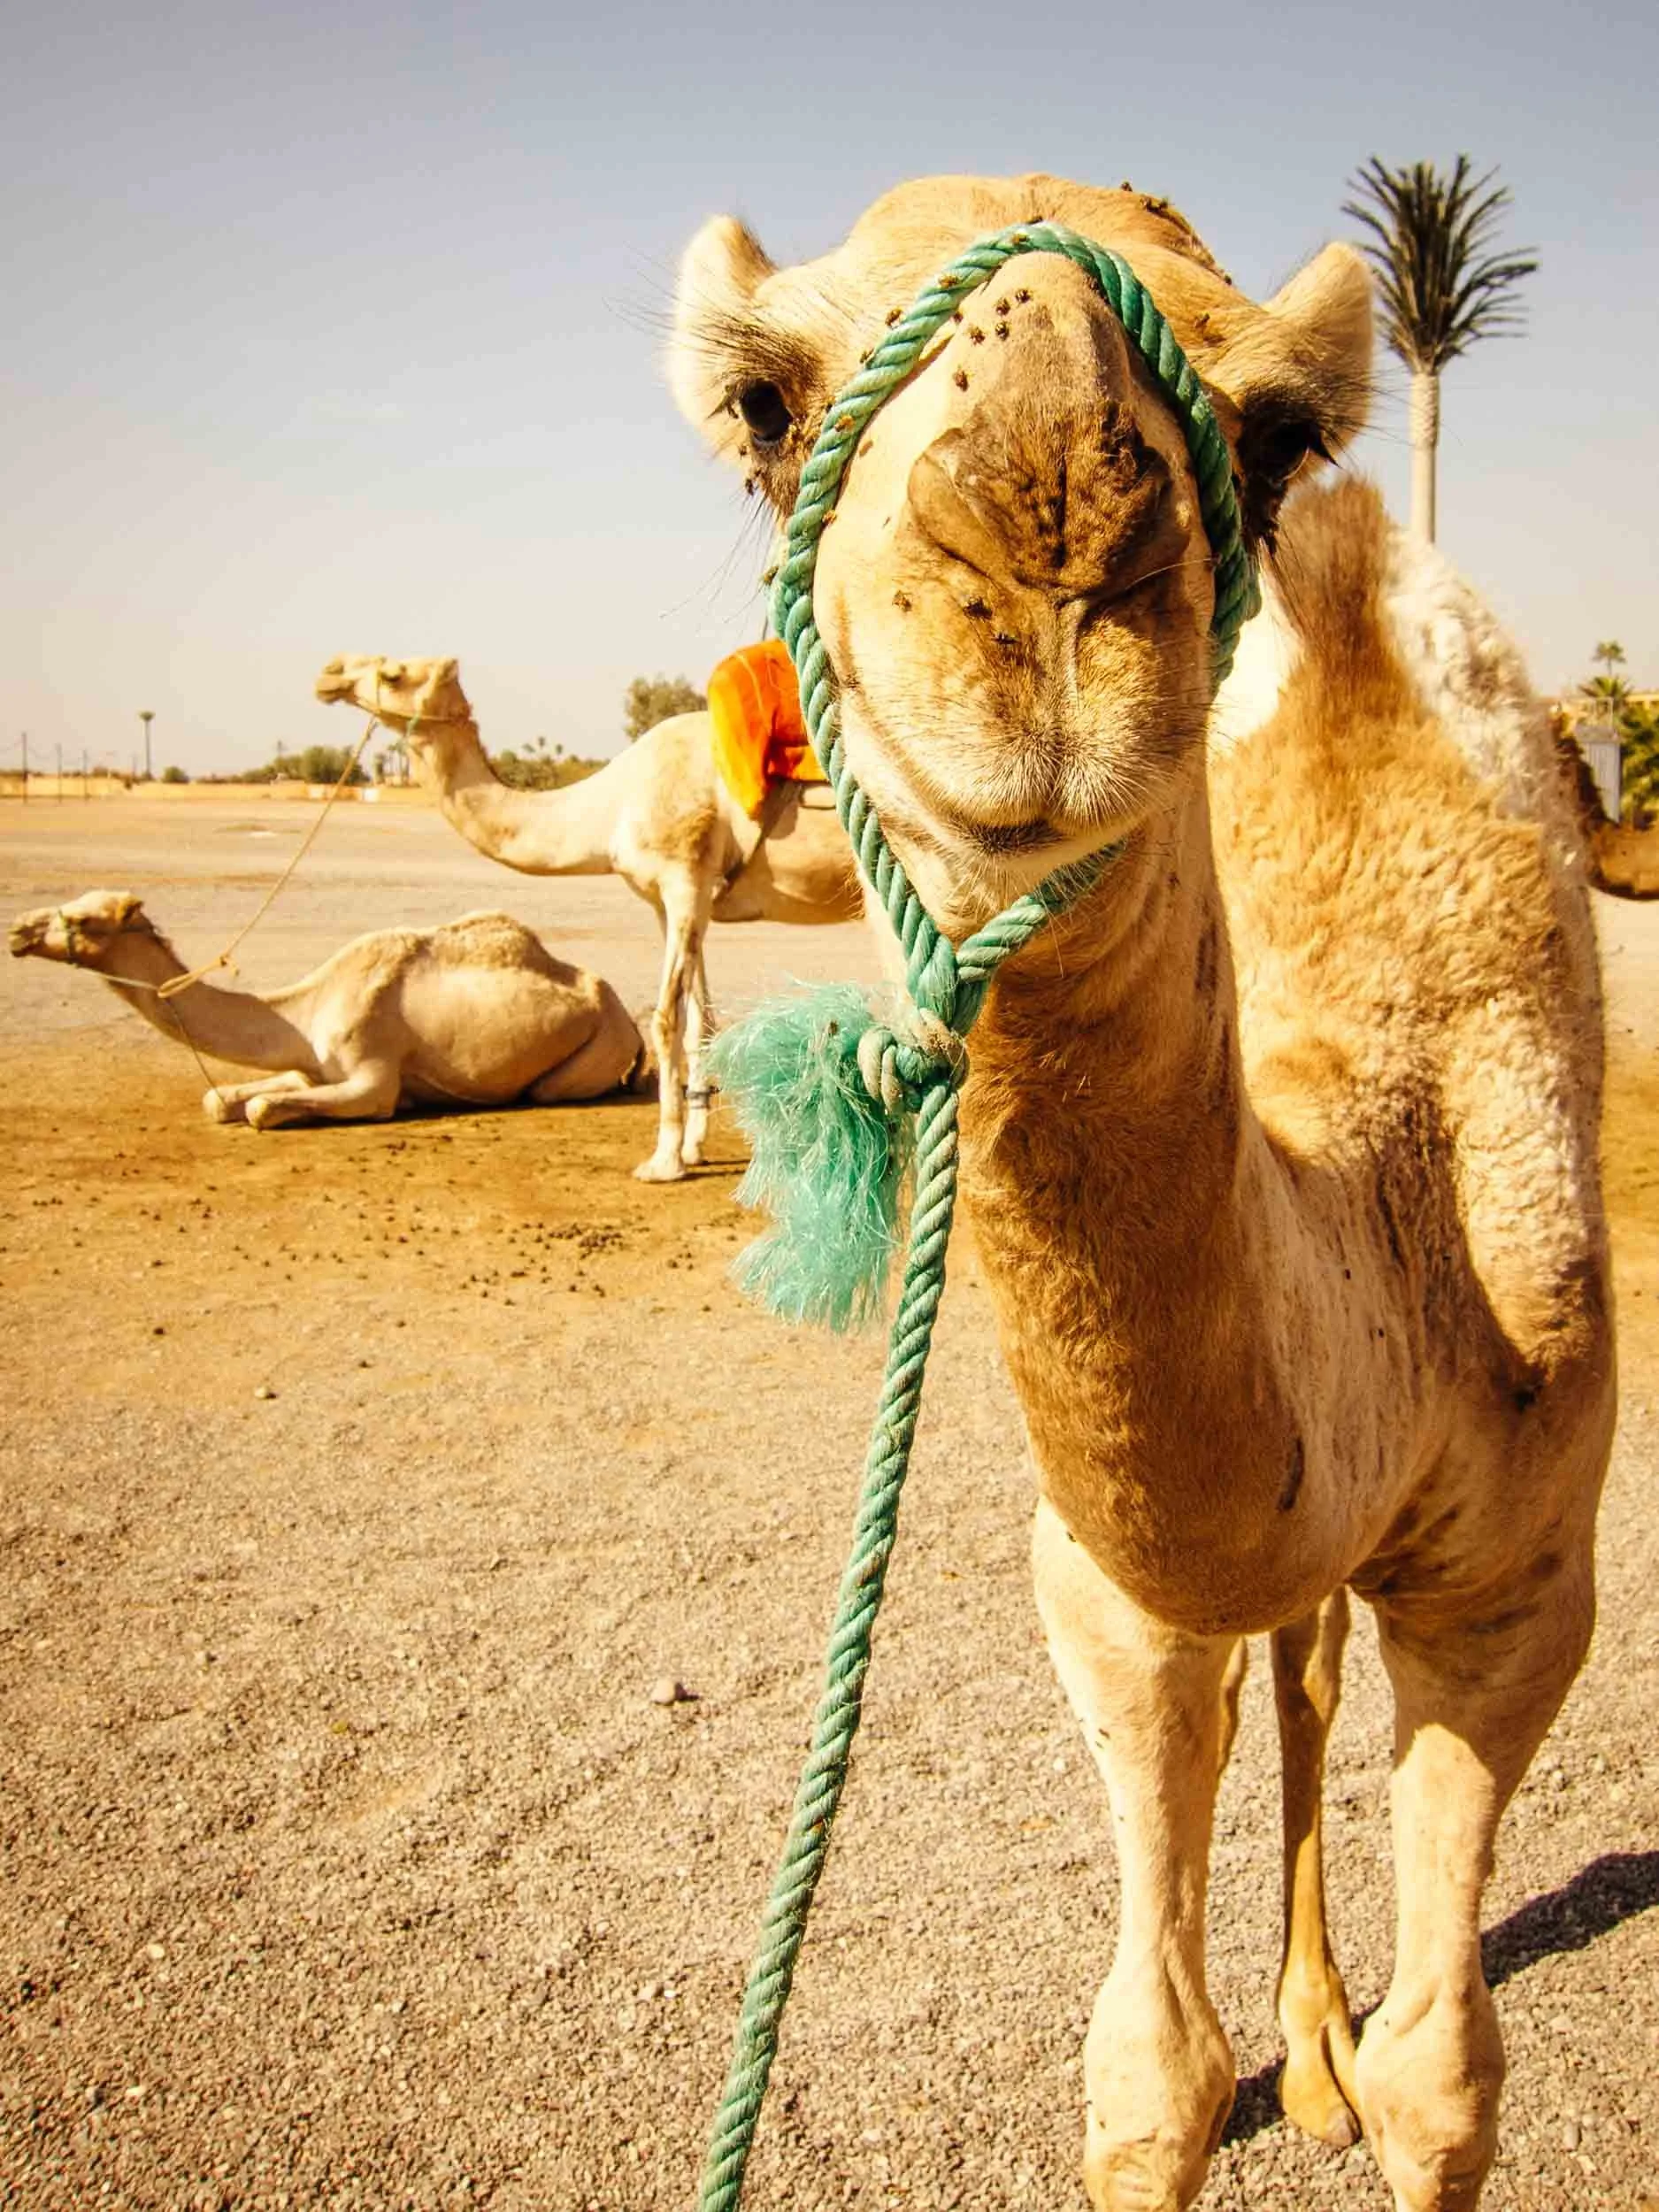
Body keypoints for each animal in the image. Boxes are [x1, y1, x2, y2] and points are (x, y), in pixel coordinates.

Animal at [9, 890, 650, 1127]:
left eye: (83, 918)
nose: (16, 930)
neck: (305, 1011)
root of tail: (625, 1016)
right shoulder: (306, 1068)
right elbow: (220, 1099)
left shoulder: (370, 1079)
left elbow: (261, 1109)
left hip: (590, 1057)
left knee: (546, 1090)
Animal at [314, 655, 861, 1180]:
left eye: (393, 673)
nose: (329, 674)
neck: (611, 806)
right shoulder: (677, 898)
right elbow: (699, 1021)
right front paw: (693, 1147)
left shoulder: (682, 879)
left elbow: (664, 1020)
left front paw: (664, 1161)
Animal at [671, 174, 1614, 2211]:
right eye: (763, 404)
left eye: (1274, 430)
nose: (1043, 542)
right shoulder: (1108, 1586)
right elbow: (1148, 2068)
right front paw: (1234, 2067)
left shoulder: (1523, 1587)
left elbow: (1448, 2078)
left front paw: (1362, 2075)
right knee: (1294, 1659)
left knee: (1318, 1675)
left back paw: (1322, 2050)